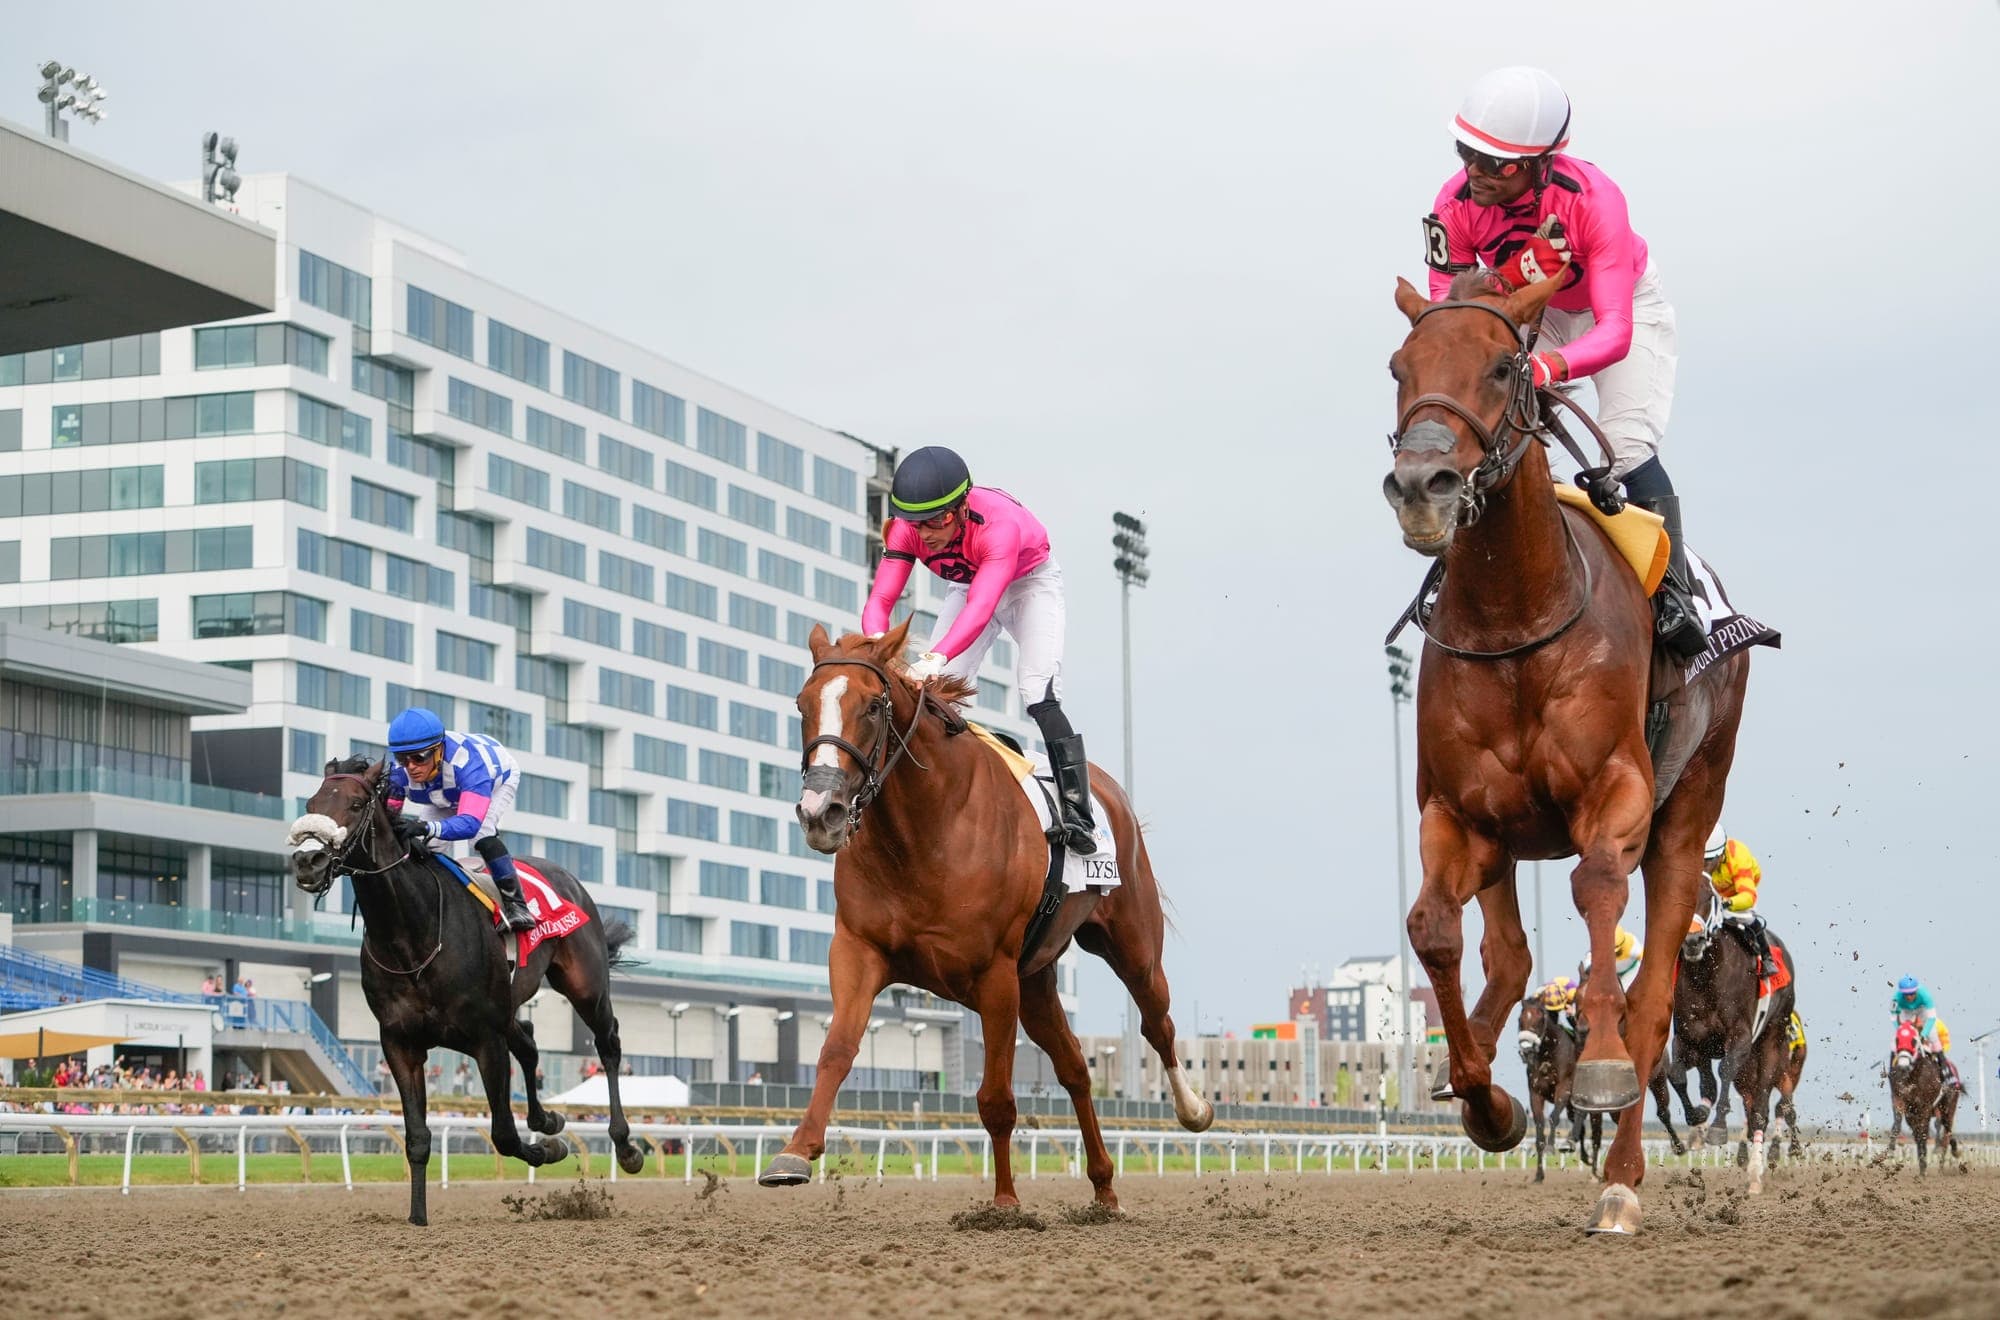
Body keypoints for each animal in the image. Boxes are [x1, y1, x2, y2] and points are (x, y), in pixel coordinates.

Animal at [290, 756, 640, 1224]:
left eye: (357, 803)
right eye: (311, 803)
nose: (308, 860)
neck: (412, 934)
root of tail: (567, 877)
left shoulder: (485, 1038)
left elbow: (504, 1134)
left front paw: (548, 1151)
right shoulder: (399, 1042)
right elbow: (417, 1138)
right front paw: (417, 1216)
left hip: (585, 986)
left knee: (608, 1043)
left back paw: (624, 1145)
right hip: (509, 1006)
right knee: (529, 1043)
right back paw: (547, 1120)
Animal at [752, 620, 1208, 1208]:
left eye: (873, 706)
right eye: (802, 704)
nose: (820, 813)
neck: (925, 830)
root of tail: (1113, 795)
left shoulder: (994, 974)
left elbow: (996, 1098)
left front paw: (1006, 1202)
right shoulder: (858, 949)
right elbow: (836, 1049)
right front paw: (794, 1153)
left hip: (1132, 948)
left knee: (1158, 1023)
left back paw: (1193, 1110)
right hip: (1035, 982)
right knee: (1075, 1068)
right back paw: (1104, 1186)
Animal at [1384, 270, 1760, 1240]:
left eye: (1504, 364)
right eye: (1399, 366)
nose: (1423, 485)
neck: (1515, 613)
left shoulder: (1615, 793)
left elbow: (1598, 898)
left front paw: (1597, 1064)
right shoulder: (1457, 814)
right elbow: (1435, 930)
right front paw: (1487, 1100)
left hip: (1688, 813)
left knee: (1654, 999)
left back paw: (1622, 1179)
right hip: (1509, 838)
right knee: (1509, 954)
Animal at [1672, 904, 1800, 1192]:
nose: (1692, 940)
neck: (1706, 976)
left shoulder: (1739, 1038)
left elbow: (1725, 1070)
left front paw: (1717, 1127)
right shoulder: (1689, 1039)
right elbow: (1684, 1076)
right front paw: (1697, 1120)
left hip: (1773, 1044)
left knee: (1765, 1110)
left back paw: (1757, 1171)